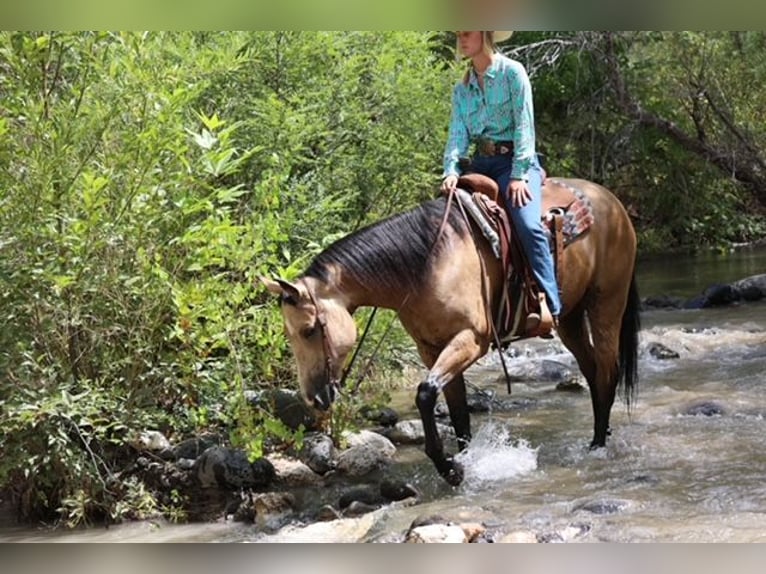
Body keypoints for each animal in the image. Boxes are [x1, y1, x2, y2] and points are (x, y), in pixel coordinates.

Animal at [262, 179, 640, 486]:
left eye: (310, 329)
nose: (314, 399)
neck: (425, 265)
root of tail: (611, 200)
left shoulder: (470, 340)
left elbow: (426, 394)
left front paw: (450, 468)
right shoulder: (433, 348)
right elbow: (457, 412)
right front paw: (465, 465)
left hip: (606, 306)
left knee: (607, 372)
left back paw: (598, 445)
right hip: (571, 319)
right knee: (592, 370)